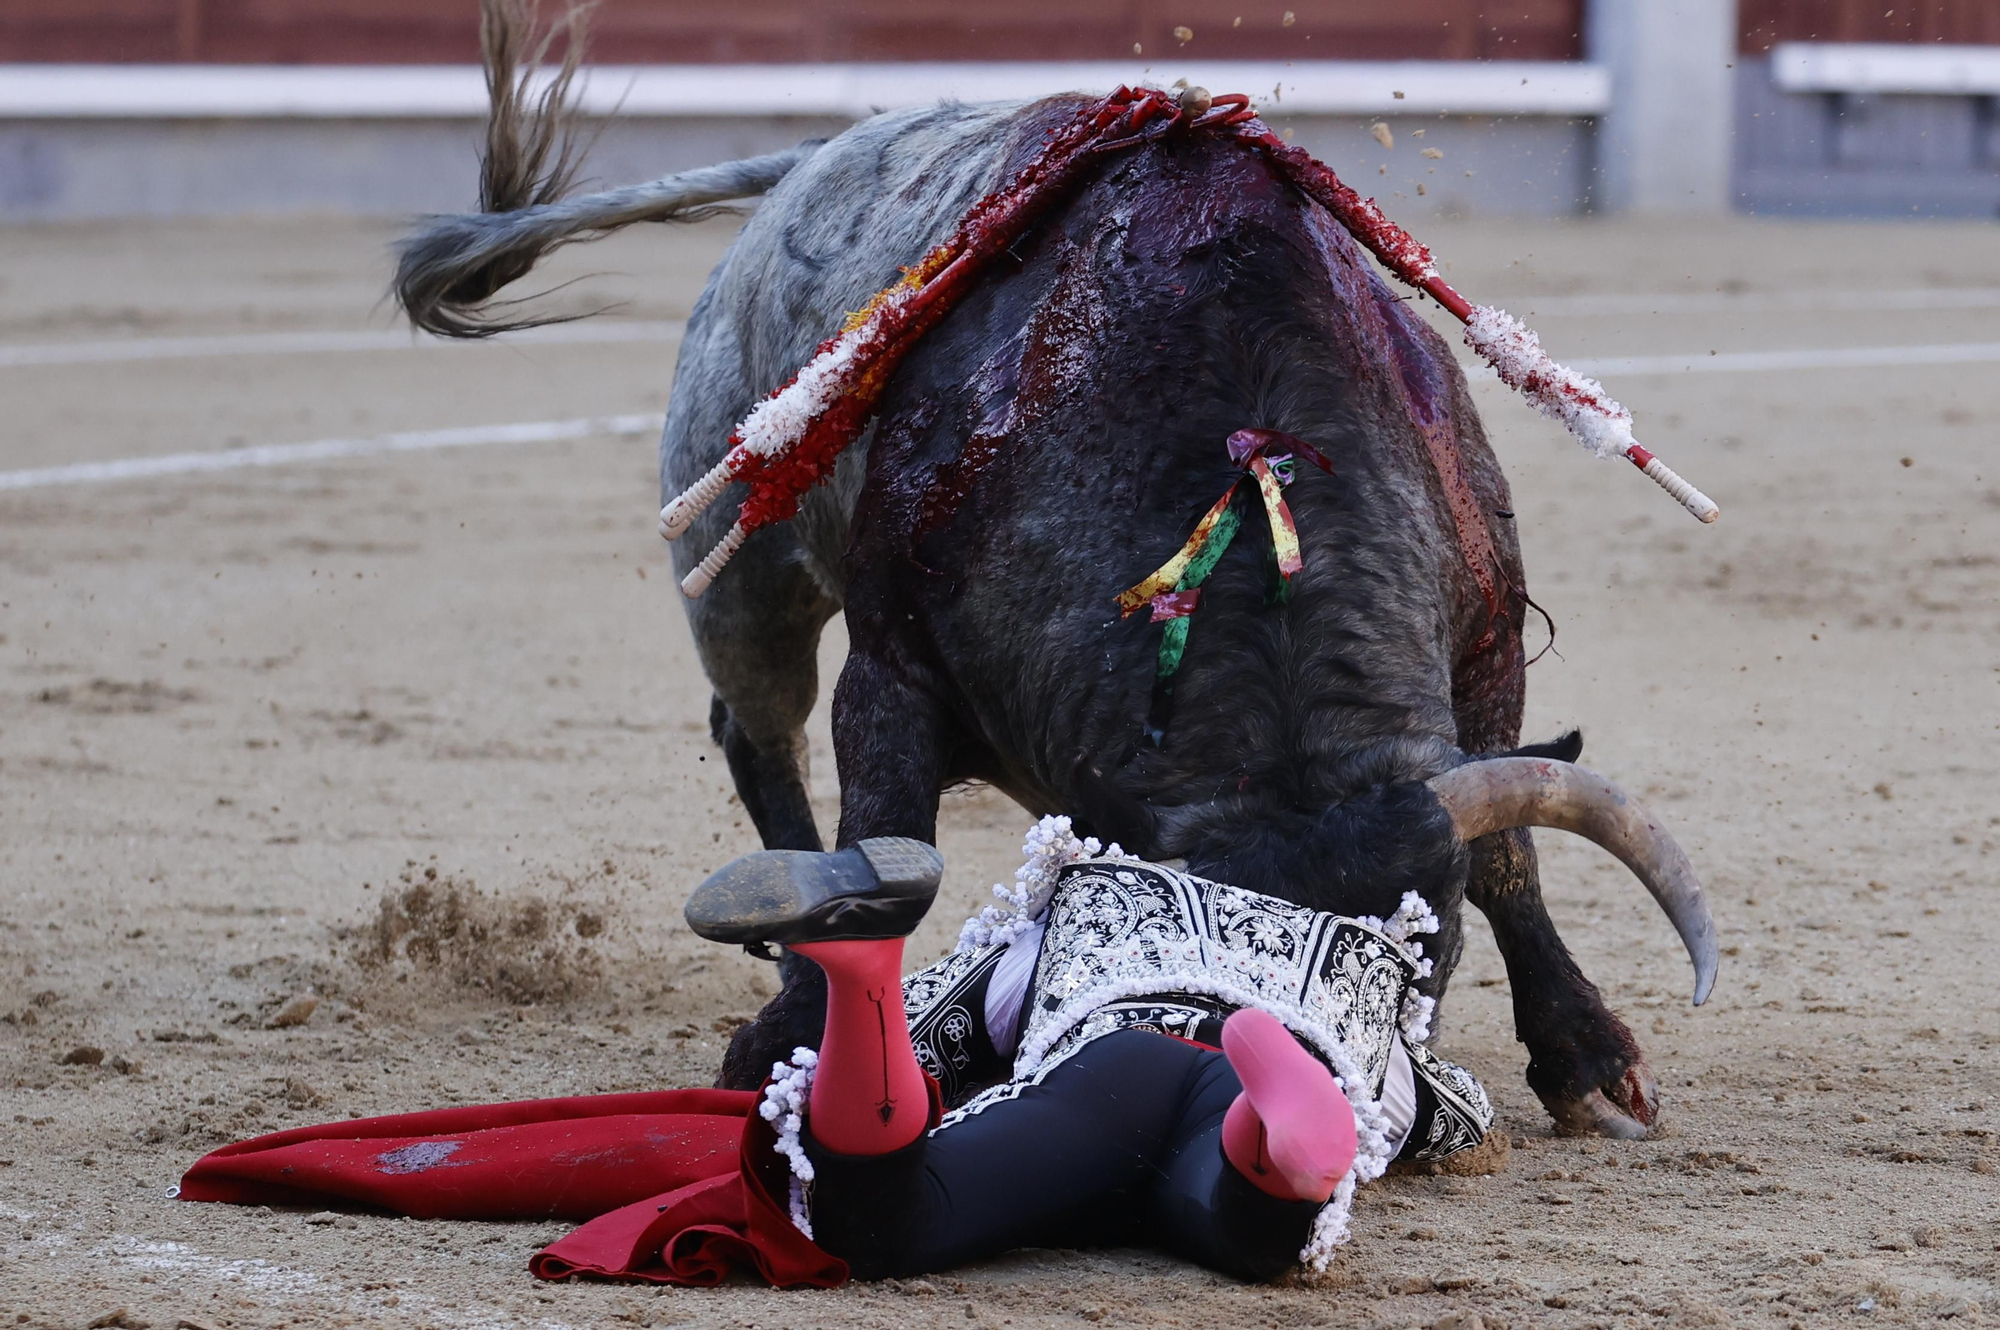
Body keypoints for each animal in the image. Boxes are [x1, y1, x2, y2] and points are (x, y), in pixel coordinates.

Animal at [398, 2, 1712, 1144]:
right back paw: (783, 982)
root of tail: (822, 156)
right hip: (737, 560)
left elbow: (1506, 855)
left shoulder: (1487, 647)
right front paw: (810, 1040)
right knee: (753, 730)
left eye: (1413, 958)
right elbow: (881, 852)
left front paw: (1589, 1062)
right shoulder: (889, 669)